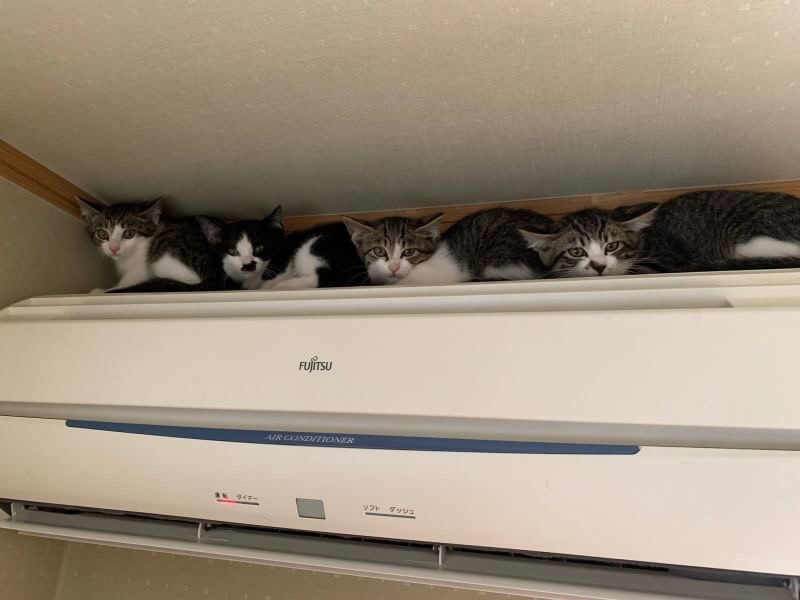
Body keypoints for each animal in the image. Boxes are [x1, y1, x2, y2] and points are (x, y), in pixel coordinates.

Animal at [78, 198, 224, 292]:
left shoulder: (142, 269)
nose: (114, 248)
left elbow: (126, 284)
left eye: (129, 233)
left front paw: (100, 291)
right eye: (102, 234)